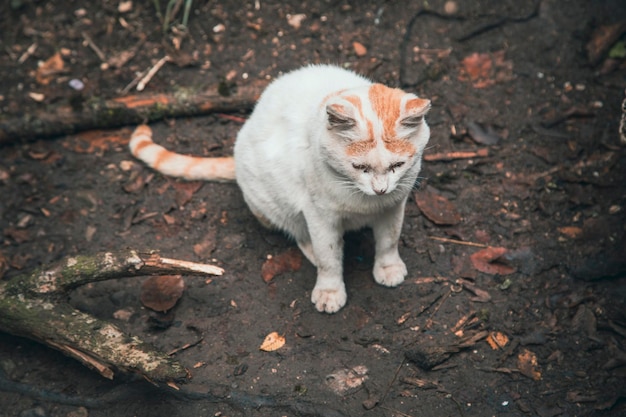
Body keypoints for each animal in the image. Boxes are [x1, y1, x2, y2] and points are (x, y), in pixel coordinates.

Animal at [127, 64, 428, 312]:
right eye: (359, 167)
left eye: (397, 165)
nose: (380, 190)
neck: (364, 201)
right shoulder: (320, 216)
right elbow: (329, 256)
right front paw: (330, 290)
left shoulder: (394, 205)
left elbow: (389, 240)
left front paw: (388, 267)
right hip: (278, 205)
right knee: (302, 236)